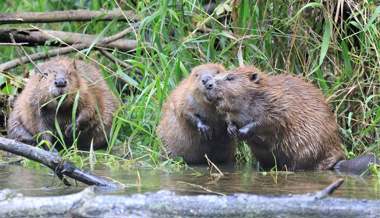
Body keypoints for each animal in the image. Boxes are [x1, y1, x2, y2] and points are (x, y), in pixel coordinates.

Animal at [206, 64, 378, 172]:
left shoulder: (279, 103)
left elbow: (271, 120)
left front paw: (243, 131)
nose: (208, 84)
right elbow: (229, 118)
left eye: (230, 78)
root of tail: (338, 162)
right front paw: (231, 129)